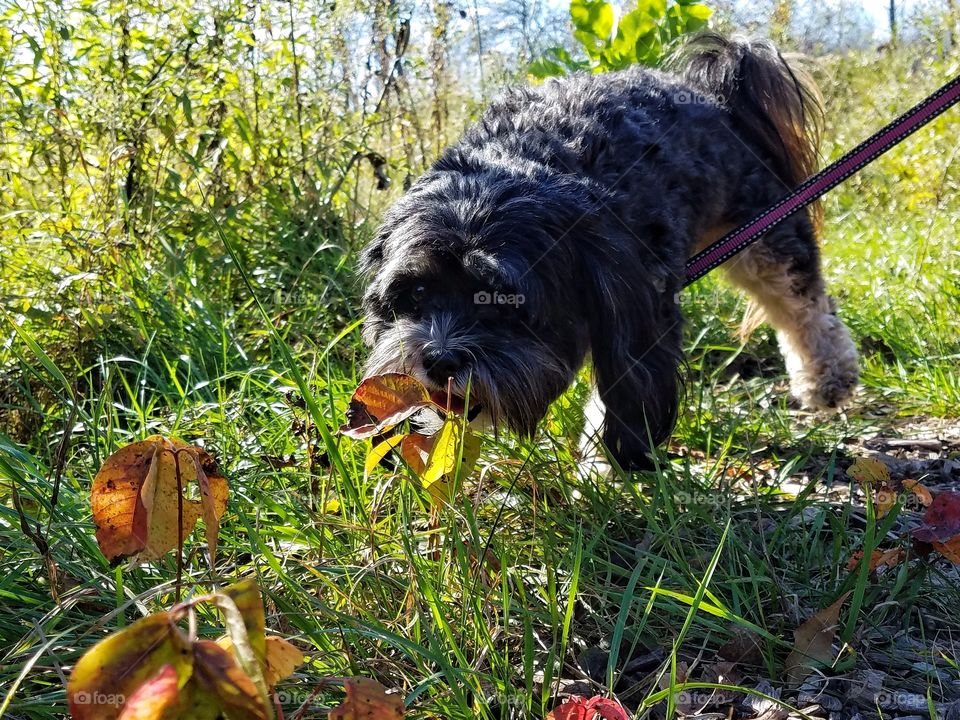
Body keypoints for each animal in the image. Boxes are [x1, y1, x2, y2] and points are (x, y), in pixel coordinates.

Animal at [356, 35, 860, 472]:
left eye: (507, 305)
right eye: (415, 295)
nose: (440, 361)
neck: (528, 158)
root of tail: (713, 93)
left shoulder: (639, 300)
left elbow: (625, 382)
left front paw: (603, 465)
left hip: (767, 227)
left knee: (804, 304)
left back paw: (828, 378)